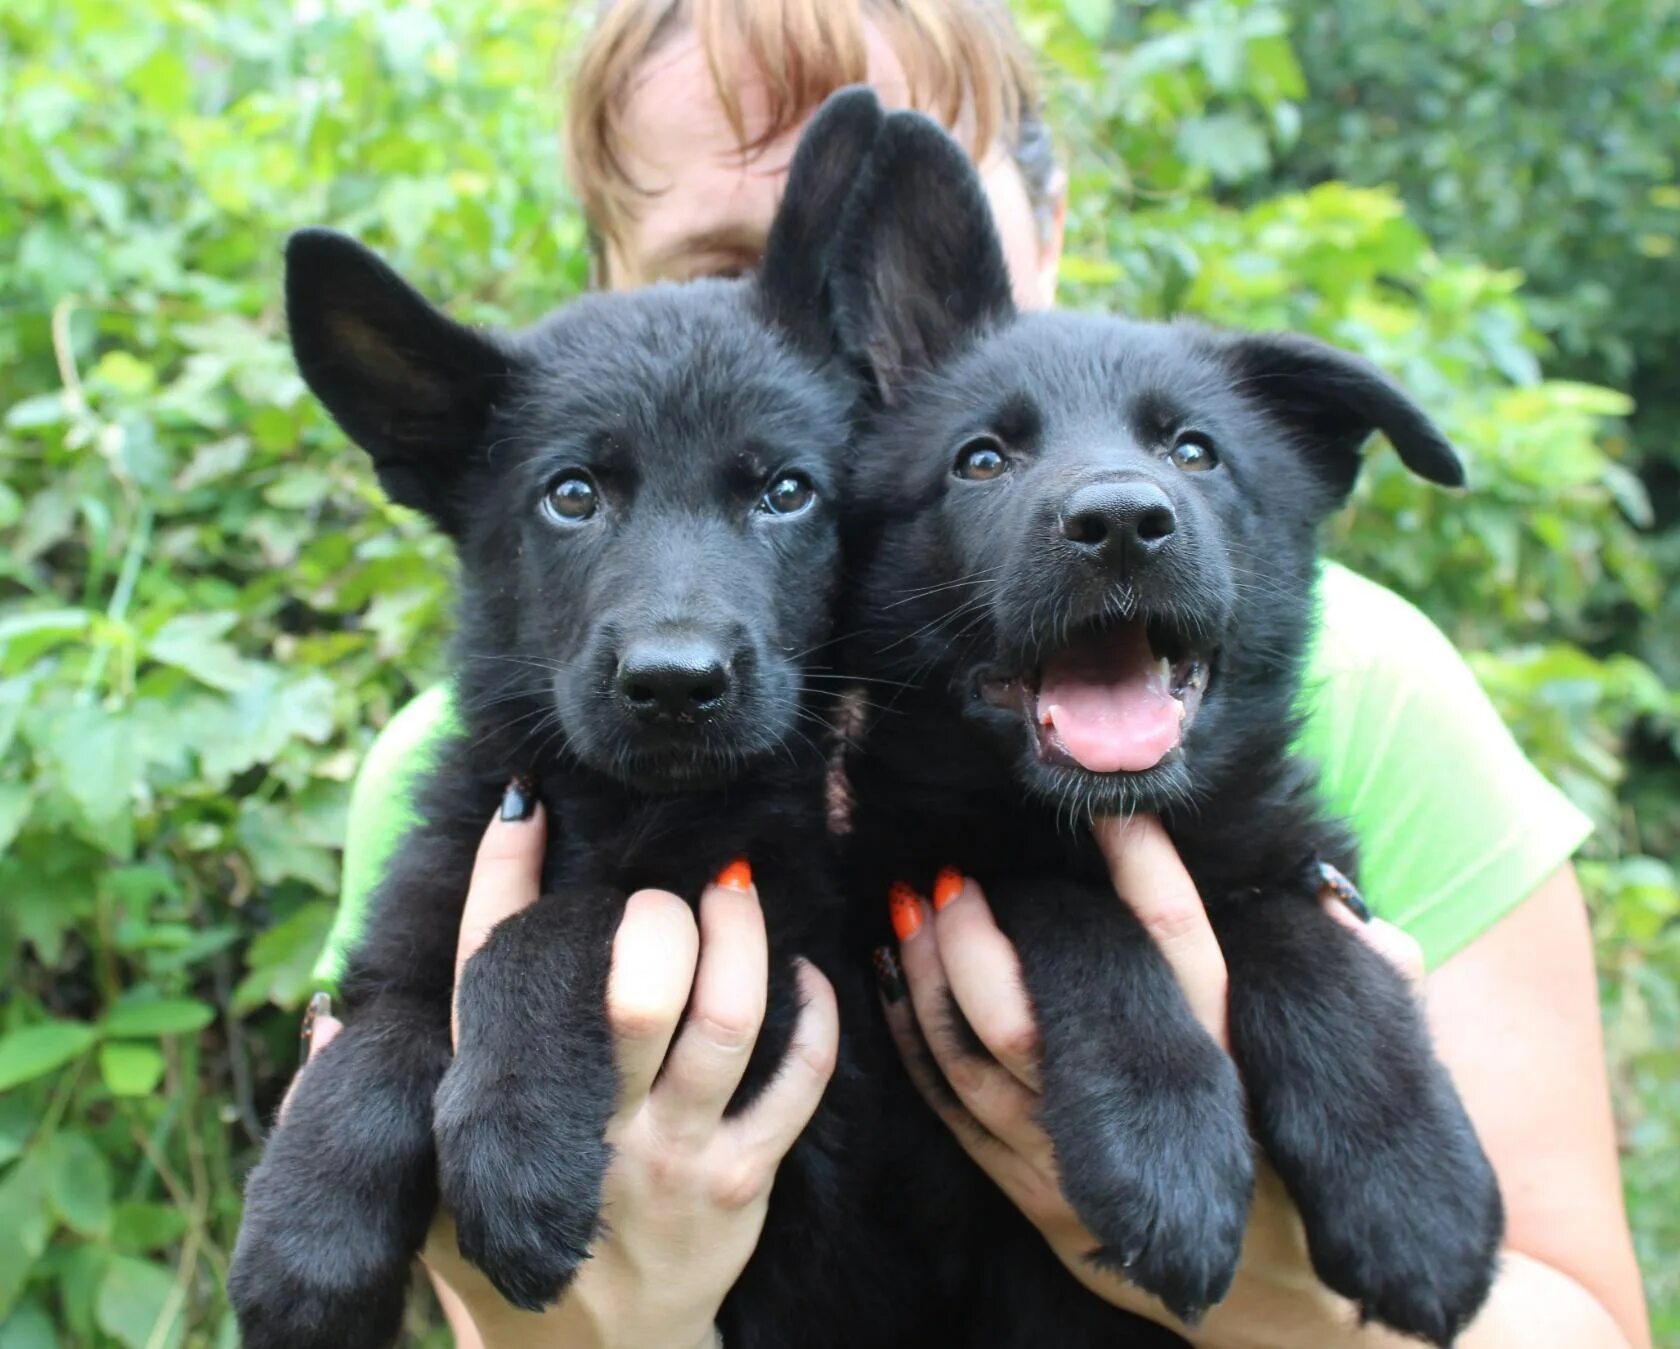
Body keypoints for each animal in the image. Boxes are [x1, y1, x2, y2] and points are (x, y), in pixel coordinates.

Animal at [231, 92, 920, 1349]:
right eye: (572, 495)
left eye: (786, 492)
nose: (675, 681)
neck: (622, 806)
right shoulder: (418, 915)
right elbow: (385, 1027)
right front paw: (307, 1238)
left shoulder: (787, 974)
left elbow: (561, 922)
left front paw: (511, 1146)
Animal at [833, 108, 1505, 1349]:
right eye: (982, 458)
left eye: (1193, 451)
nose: (1119, 521)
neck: (1114, 817)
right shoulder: (934, 876)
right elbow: (1072, 912)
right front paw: (1165, 1148)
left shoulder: (1288, 860)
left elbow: (1305, 937)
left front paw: (1414, 1180)